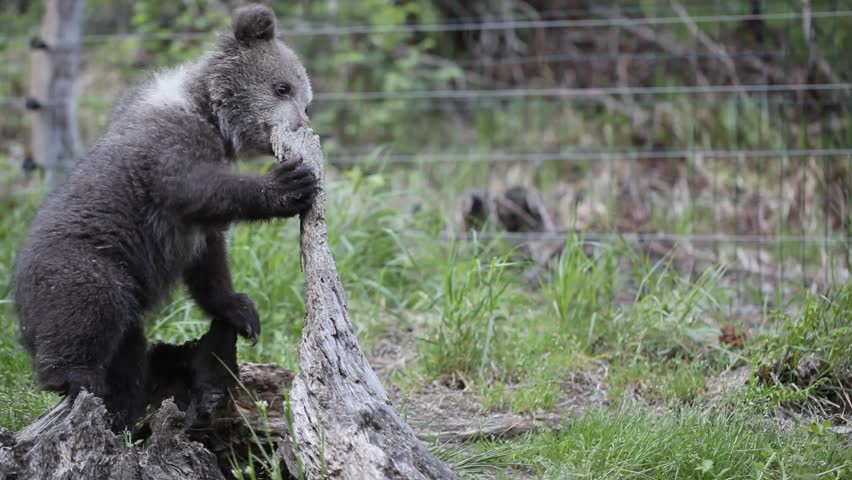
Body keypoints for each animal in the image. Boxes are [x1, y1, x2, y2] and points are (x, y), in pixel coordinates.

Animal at [12, 4, 316, 431]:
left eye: (306, 99)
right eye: (282, 88)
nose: (302, 123)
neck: (207, 109)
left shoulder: (191, 229)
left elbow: (209, 259)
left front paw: (241, 311)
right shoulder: (169, 150)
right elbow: (197, 189)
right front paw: (289, 182)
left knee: (127, 351)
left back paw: (123, 410)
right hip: (84, 265)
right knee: (87, 309)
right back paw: (74, 379)